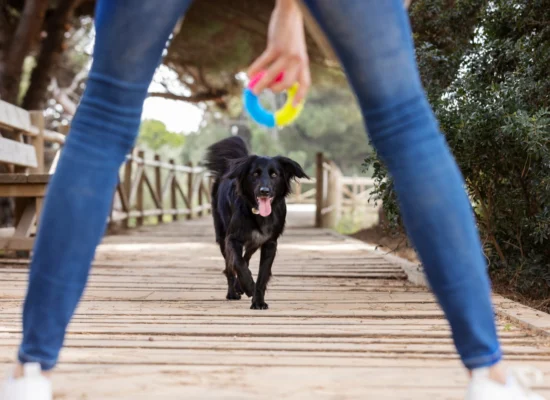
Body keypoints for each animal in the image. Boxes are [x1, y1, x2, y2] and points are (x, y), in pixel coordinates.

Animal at [206, 137, 310, 310]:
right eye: (255, 174)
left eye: (274, 174)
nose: (264, 191)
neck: (258, 213)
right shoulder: (232, 238)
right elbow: (238, 264)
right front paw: (248, 286)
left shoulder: (269, 242)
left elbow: (262, 274)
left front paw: (258, 301)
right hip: (222, 236)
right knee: (230, 266)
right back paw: (233, 292)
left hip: (255, 241)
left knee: (246, 257)